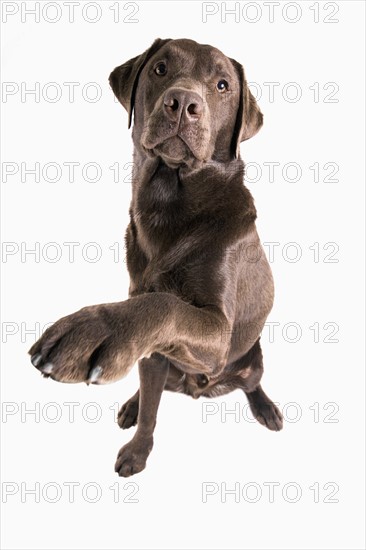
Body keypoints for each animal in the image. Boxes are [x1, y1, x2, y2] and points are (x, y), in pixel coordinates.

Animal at [30, 38, 284, 478]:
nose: (182, 102)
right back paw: (132, 405)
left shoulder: (219, 331)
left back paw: (266, 408)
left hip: (251, 360)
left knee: (253, 385)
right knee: (151, 386)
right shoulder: (151, 342)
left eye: (222, 85)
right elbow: (151, 407)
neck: (172, 205)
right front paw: (137, 450)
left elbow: (165, 304)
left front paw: (97, 329)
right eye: (160, 69)